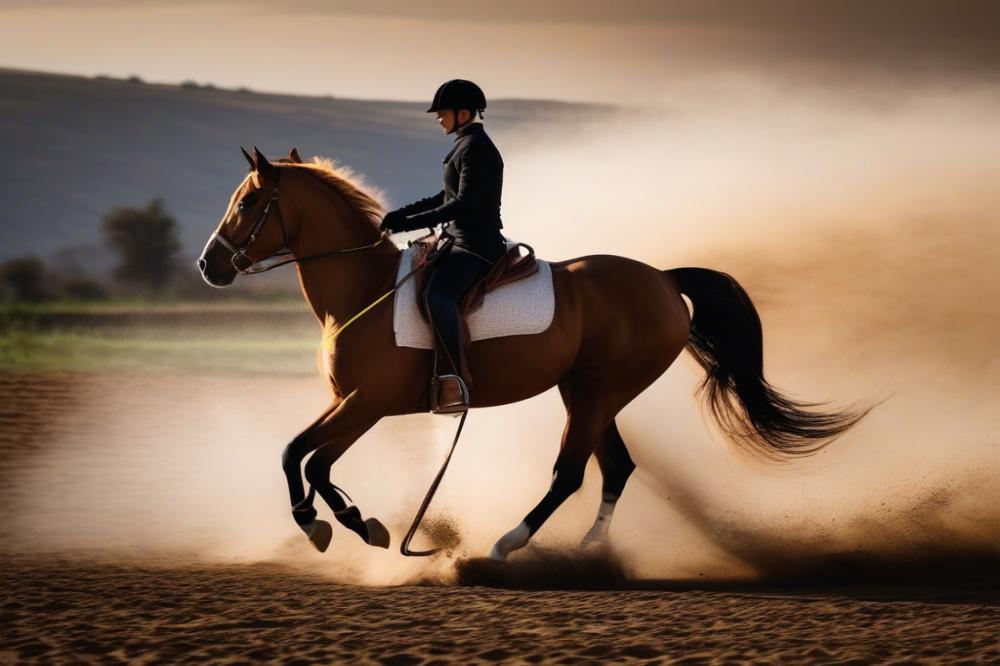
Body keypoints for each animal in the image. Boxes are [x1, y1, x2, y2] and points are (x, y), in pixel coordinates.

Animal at [197, 148, 868, 556]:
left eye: (248, 202)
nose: (208, 266)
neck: (362, 289)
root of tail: (661, 278)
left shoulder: (368, 402)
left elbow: (306, 459)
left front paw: (343, 524)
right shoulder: (351, 403)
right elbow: (302, 457)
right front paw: (340, 525)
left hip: (597, 393)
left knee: (570, 473)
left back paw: (508, 543)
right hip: (589, 392)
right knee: (616, 467)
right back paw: (589, 551)